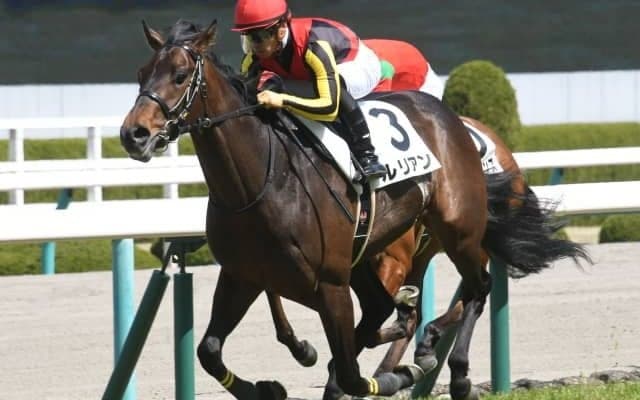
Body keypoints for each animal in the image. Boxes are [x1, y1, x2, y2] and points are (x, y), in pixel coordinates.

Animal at [120, 19, 588, 400]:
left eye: (180, 76)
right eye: (141, 73)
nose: (133, 134)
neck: (260, 181)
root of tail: (451, 117)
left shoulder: (331, 282)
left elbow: (348, 369)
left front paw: (391, 375)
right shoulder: (244, 274)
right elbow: (209, 351)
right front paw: (269, 386)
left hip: (457, 232)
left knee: (477, 287)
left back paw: (453, 372)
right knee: (398, 308)